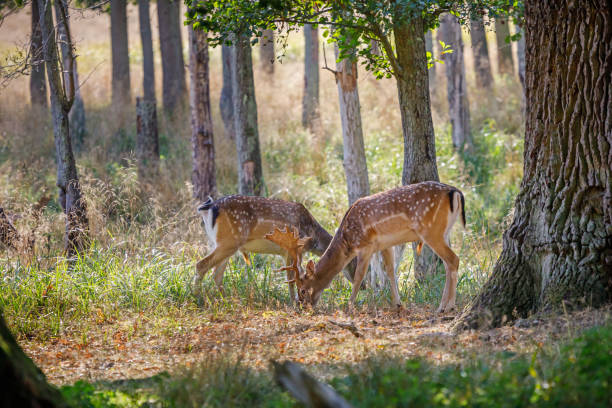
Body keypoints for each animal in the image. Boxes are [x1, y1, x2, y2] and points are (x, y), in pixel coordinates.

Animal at [194, 195, 356, 300]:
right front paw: (295, 302)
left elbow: (291, 277)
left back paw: (227, 300)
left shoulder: (286, 253)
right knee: (201, 265)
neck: (312, 234)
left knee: (216, 274)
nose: (360, 285)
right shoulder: (296, 249)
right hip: (229, 240)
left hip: (222, 243)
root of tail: (209, 208)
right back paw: (198, 298)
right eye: (352, 261)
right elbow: (294, 278)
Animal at [266, 182, 466, 312]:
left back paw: (446, 307)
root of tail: (455, 191)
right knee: (449, 263)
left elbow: (360, 276)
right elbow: (390, 271)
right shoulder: (385, 244)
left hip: (431, 231)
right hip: (444, 232)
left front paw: (350, 306)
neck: (347, 239)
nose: (302, 306)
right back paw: (445, 305)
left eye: (303, 289)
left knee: (453, 259)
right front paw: (398, 304)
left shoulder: (366, 245)